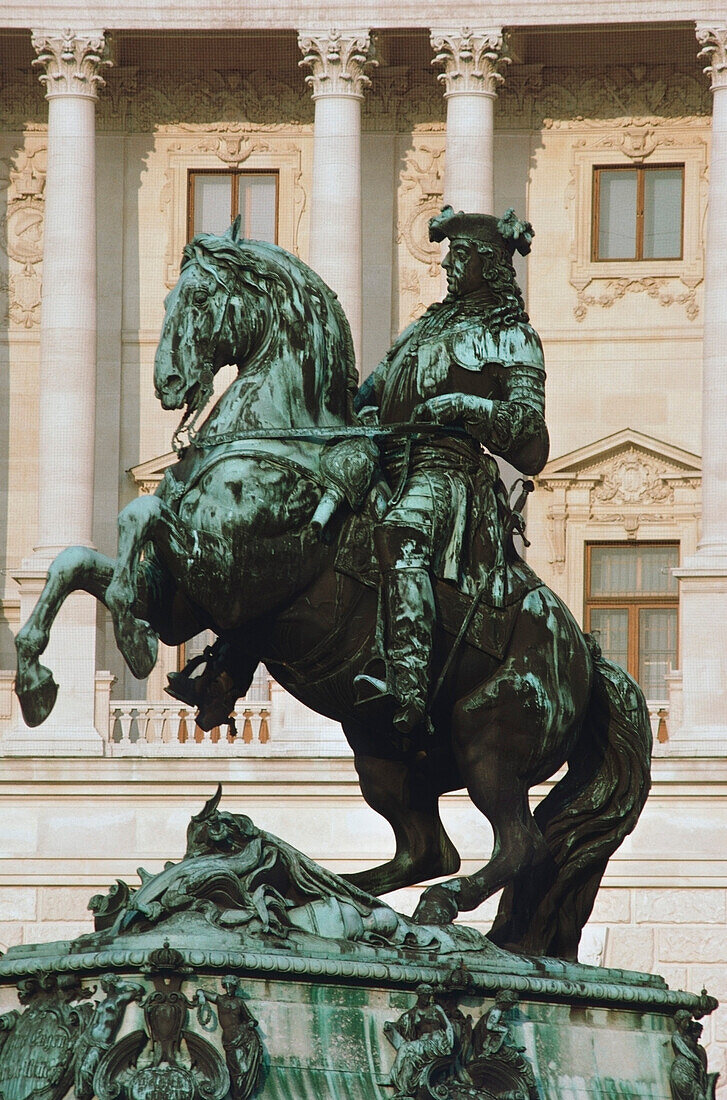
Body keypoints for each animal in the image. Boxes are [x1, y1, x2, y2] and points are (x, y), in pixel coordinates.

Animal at [15, 225, 651, 963]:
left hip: (488, 739)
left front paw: (130, 638)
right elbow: (75, 558)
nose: (168, 384)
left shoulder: (224, 580)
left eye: (200, 299)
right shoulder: (185, 602)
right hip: (382, 754)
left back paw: (420, 905)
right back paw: (330, 892)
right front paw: (34, 680)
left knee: (518, 846)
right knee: (427, 851)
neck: (279, 443)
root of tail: (587, 652)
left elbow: (137, 519)